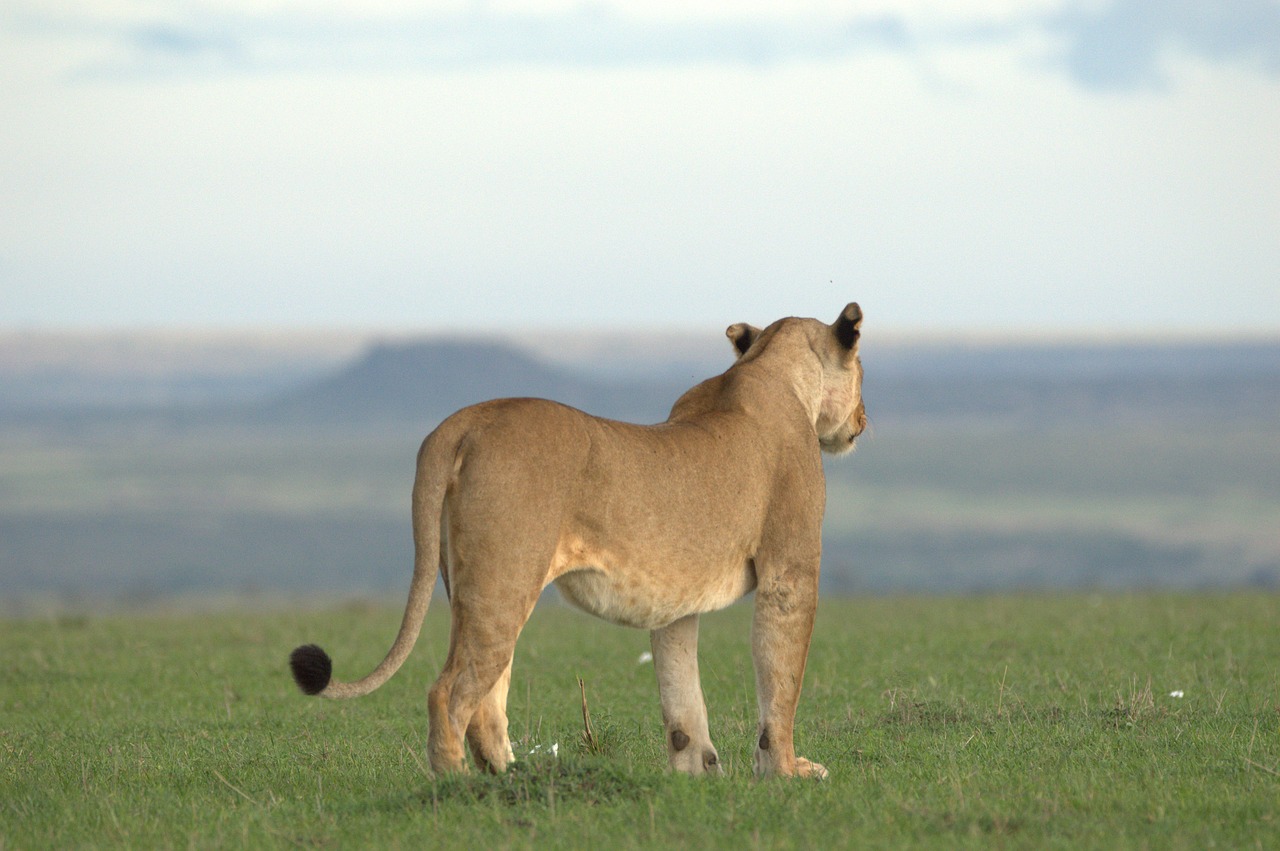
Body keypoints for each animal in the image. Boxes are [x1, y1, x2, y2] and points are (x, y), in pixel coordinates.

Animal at [290, 302, 870, 778]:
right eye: (863, 371)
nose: (864, 420)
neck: (770, 369)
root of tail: (465, 420)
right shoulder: (790, 572)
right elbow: (781, 682)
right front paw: (787, 772)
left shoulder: (676, 601)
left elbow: (681, 690)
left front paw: (697, 773)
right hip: (505, 580)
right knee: (449, 692)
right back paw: (459, 785)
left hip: (472, 584)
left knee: (487, 697)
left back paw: (511, 775)